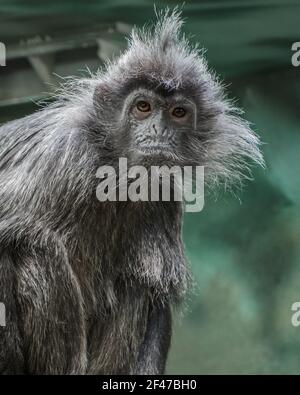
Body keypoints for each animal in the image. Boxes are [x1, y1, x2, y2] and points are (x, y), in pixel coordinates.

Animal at [0, 8, 262, 374]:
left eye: (178, 113)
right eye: (142, 107)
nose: (158, 132)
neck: (116, 176)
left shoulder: (164, 196)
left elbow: (155, 293)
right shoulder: (64, 158)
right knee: (32, 244)